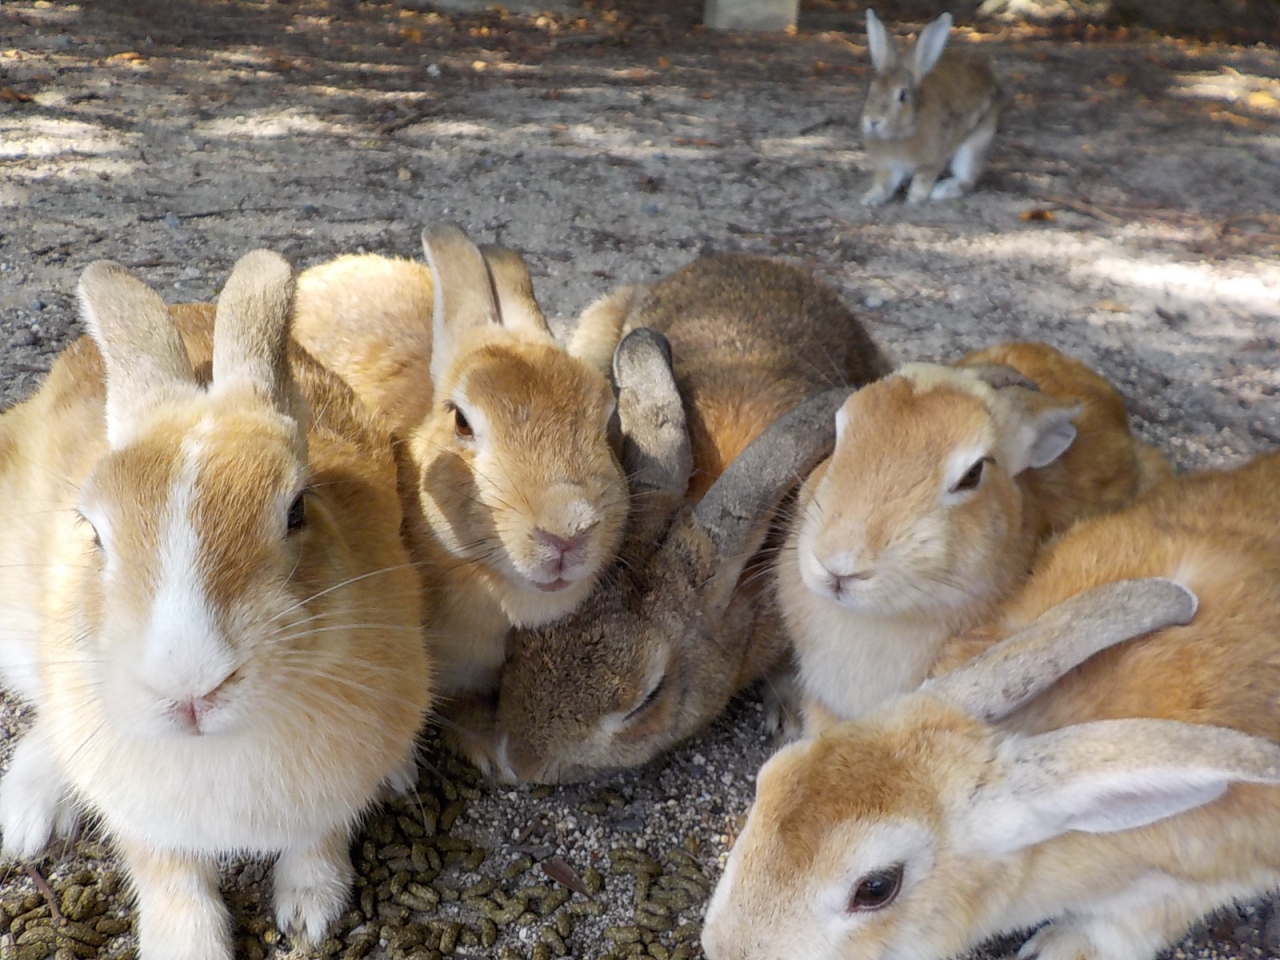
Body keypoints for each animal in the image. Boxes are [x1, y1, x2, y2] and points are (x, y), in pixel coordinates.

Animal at [0, 253, 432, 960]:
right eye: (94, 531)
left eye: (297, 510)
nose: (190, 688)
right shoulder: (143, 818)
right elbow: (169, 877)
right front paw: (188, 946)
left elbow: (318, 840)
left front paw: (310, 913)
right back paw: (28, 815)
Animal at [860, 10, 998, 207]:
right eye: (872, 88)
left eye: (902, 96)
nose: (873, 120)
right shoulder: (887, 165)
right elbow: (884, 184)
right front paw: (870, 198)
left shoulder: (933, 161)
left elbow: (924, 178)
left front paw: (915, 197)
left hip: (975, 144)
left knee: (967, 179)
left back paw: (942, 190)